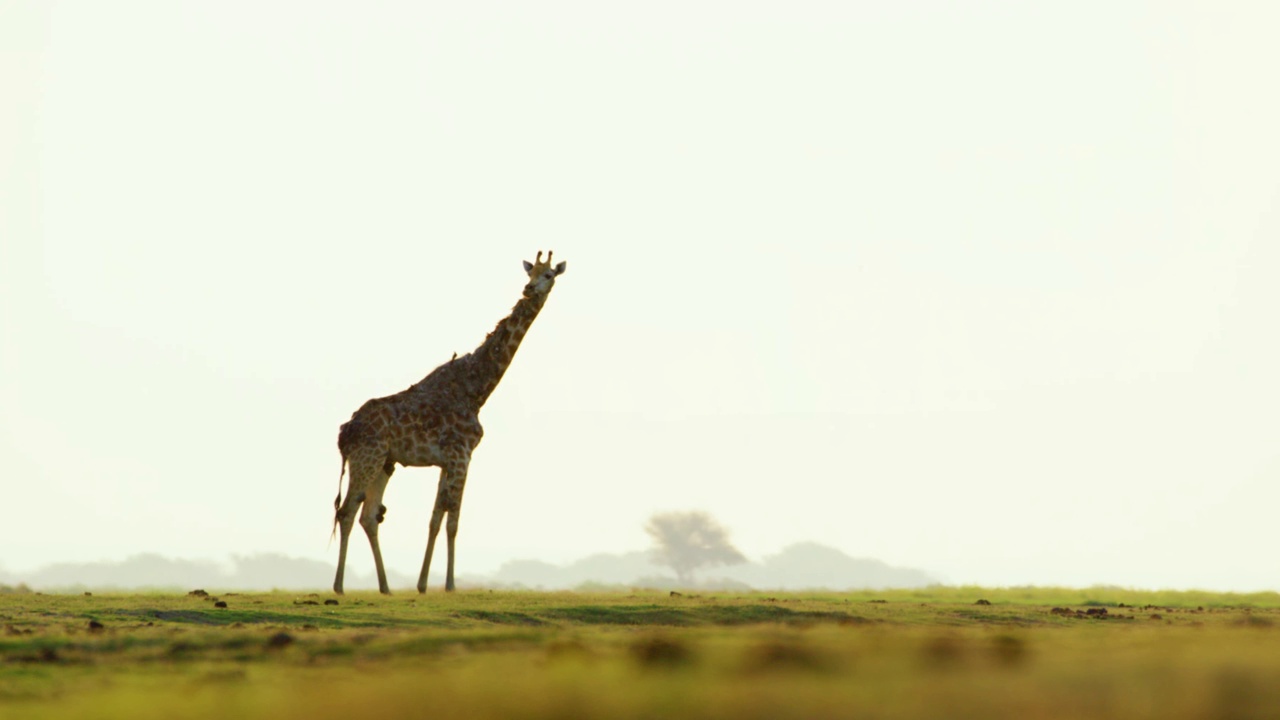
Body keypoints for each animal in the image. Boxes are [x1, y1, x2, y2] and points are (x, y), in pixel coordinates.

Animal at [332, 249, 568, 591]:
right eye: (530, 274)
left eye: (548, 275)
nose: (529, 290)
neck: (477, 390)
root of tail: (344, 432)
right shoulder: (462, 454)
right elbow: (454, 519)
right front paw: (450, 584)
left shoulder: (447, 460)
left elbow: (435, 518)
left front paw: (422, 584)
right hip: (367, 458)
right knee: (347, 511)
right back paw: (339, 586)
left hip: (384, 463)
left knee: (368, 515)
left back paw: (386, 587)